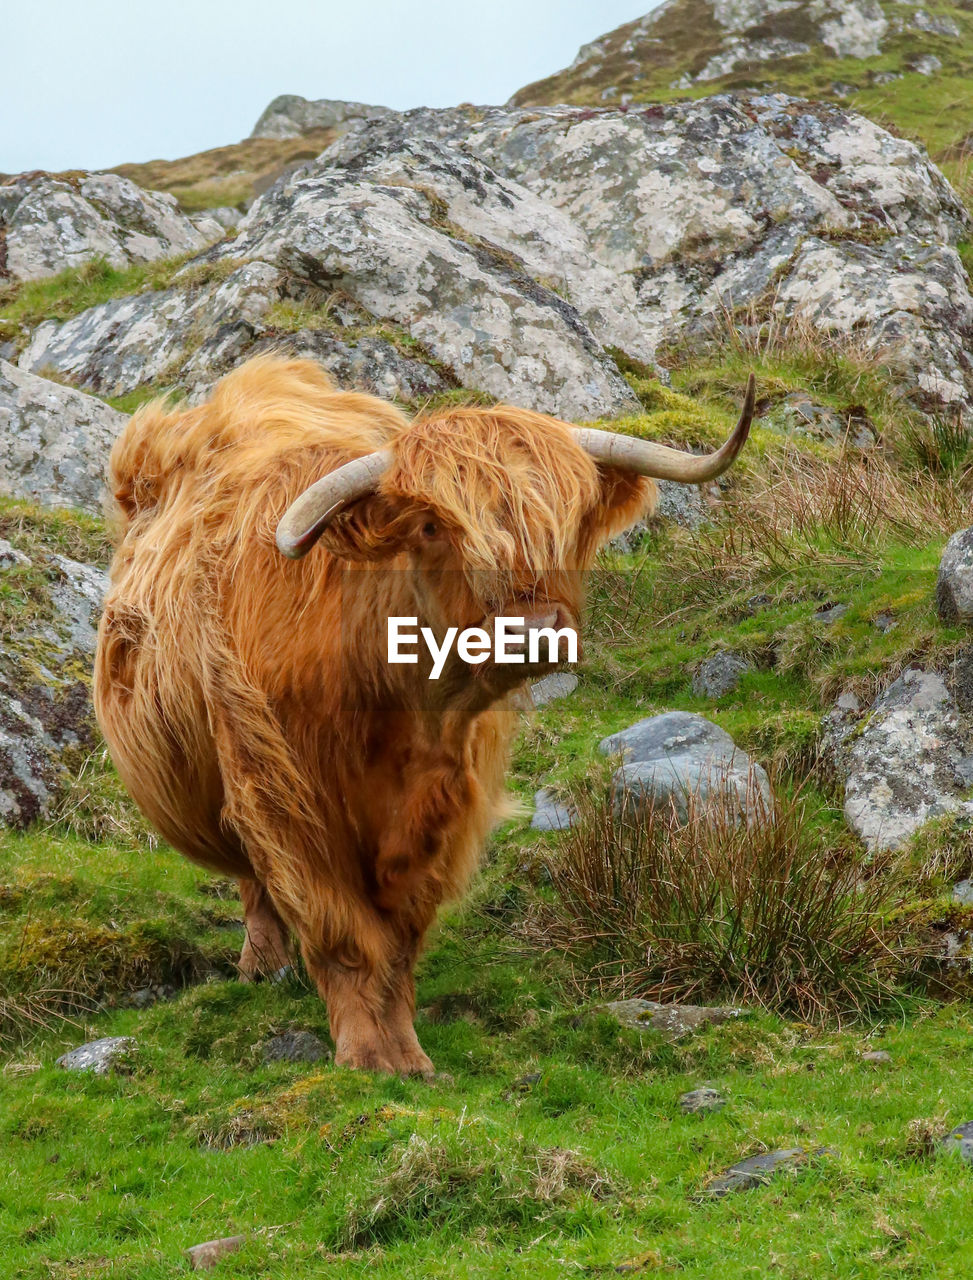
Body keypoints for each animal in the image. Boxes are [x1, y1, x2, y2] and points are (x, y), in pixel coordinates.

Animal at [94, 355, 757, 1075]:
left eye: (570, 519)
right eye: (434, 527)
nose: (532, 630)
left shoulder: (445, 805)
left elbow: (401, 938)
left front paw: (406, 1047)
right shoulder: (284, 798)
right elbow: (340, 931)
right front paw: (366, 1052)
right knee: (255, 882)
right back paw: (263, 964)